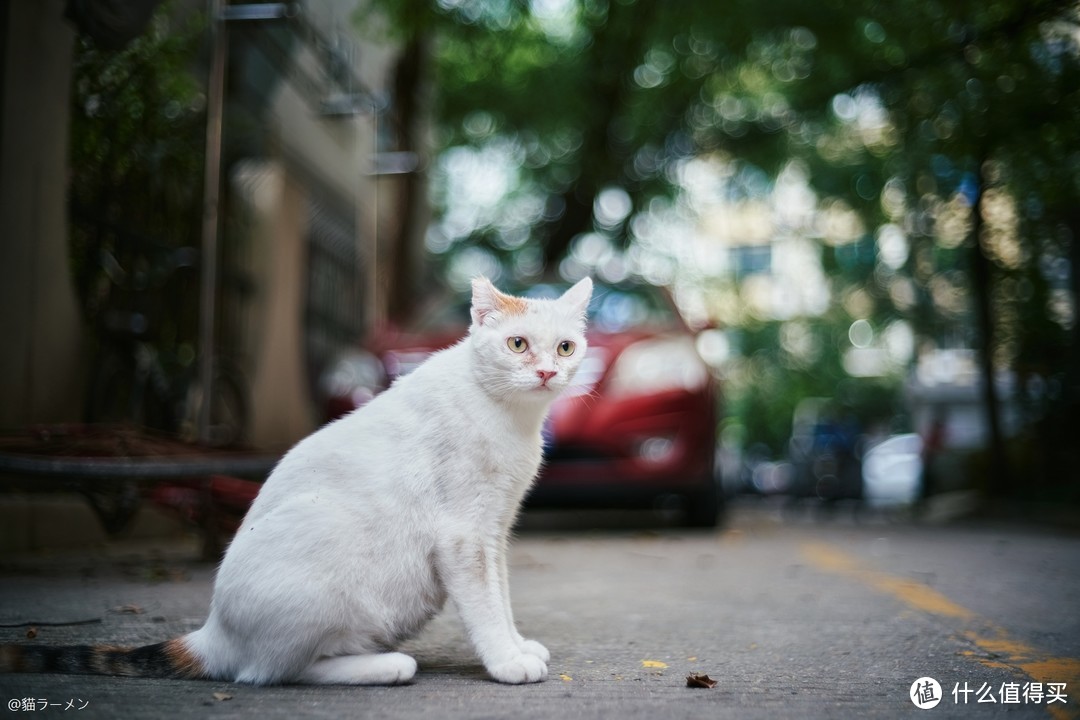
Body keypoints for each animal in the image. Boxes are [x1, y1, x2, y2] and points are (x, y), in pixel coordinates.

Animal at [0, 276, 591, 686]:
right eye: (517, 345)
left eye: (565, 348)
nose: (546, 372)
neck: (510, 419)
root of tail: (213, 633)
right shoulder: (464, 537)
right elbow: (485, 606)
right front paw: (506, 661)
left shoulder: (493, 532)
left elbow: (502, 597)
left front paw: (518, 645)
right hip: (326, 535)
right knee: (269, 671)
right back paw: (386, 666)